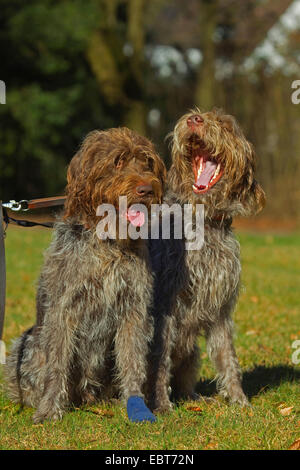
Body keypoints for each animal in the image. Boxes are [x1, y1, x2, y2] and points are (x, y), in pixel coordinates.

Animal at [4, 126, 166, 422]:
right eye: (117, 161)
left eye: (147, 162)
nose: (147, 189)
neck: (108, 242)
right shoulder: (62, 308)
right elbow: (57, 363)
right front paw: (49, 409)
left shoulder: (134, 308)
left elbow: (133, 360)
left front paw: (135, 404)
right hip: (26, 342)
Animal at [148, 108, 264, 414]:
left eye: (225, 125)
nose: (194, 120)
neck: (202, 222)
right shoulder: (165, 304)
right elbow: (159, 359)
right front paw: (161, 405)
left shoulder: (221, 306)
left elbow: (227, 356)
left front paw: (239, 399)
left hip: (192, 354)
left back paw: (195, 397)